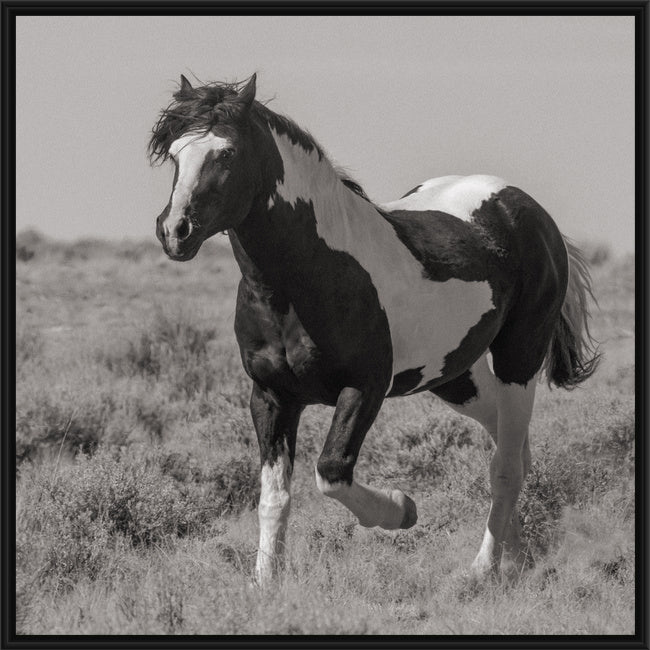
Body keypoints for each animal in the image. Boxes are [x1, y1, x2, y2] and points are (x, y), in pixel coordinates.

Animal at [147, 73, 596, 584]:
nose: (174, 231)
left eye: (227, 153)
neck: (310, 275)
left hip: (518, 358)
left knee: (504, 466)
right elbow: (274, 497)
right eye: (175, 153)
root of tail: (529, 209)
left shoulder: (365, 388)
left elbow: (331, 472)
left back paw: (483, 568)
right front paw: (264, 582)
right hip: (456, 378)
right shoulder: (270, 396)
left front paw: (402, 509)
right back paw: (514, 557)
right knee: (514, 449)